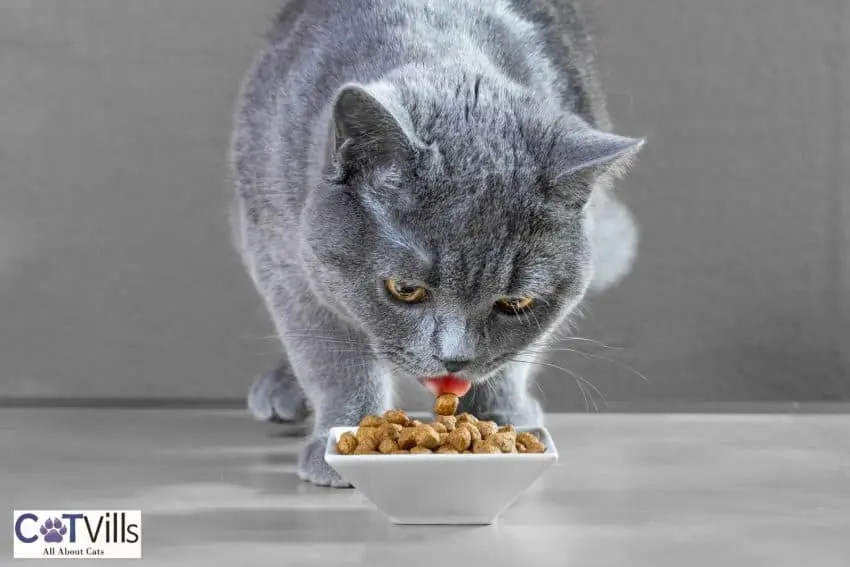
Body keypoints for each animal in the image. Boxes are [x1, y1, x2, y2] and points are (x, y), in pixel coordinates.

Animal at [232, 1, 644, 488]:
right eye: (405, 290)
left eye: (516, 303)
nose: (454, 360)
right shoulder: (284, 258)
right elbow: (332, 357)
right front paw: (339, 445)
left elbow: (512, 359)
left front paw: (504, 420)